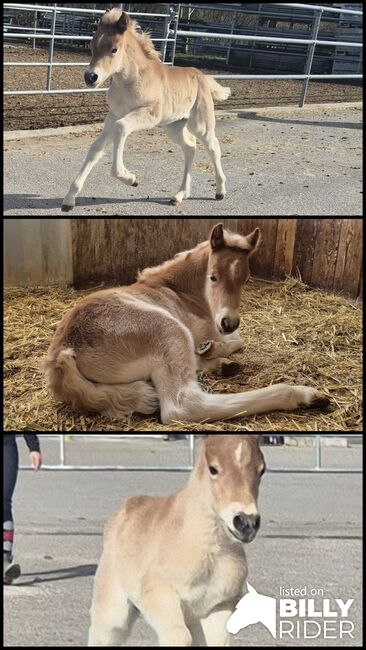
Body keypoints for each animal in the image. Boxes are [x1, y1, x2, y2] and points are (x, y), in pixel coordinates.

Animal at [43, 223, 328, 422]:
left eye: (246, 279)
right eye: (213, 277)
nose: (229, 322)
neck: (178, 289)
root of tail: (64, 351)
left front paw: (214, 357)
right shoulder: (204, 328)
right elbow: (236, 341)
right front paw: (212, 350)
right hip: (169, 329)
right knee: (184, 406)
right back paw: (303, 395)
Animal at [61, 8, 230, 211]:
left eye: (114, 49)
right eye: (92, 47)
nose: (90, 77)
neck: (130, 81)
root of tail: (203, 76)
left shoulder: (148, 114)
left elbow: (121, 128)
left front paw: (131, 179)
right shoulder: (113, 115)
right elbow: (96, 149)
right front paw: (69, 199)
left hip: (200, 124)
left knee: (213, 147)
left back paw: (220, 191)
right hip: (173, 125)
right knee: (190, 146)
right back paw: (180, 195)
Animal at [88, 430, 266, 644]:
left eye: (262, 470)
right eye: (213, 468)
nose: (246, 522)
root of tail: (126, 507)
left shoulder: (219, 606)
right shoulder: (158, 593)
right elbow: (179, 636)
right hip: (113, 612)